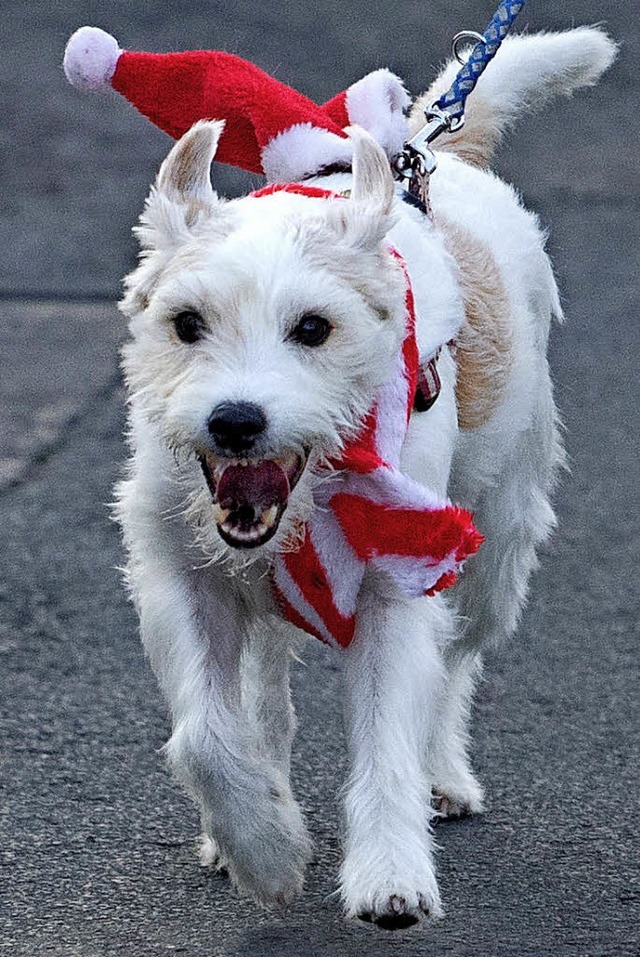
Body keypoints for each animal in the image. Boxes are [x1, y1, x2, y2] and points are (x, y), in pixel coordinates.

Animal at [112, 28, 616, 928]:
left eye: (314, 328)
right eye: (186, 323)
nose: (235, 421)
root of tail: (436, 155)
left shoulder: (398, 578)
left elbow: (388, 736)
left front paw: (389, 874)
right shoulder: (181, 576)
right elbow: (205, 734)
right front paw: (265, 846)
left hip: (498, 546)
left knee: (455, 662)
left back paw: (443, 774)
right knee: (263, 699)